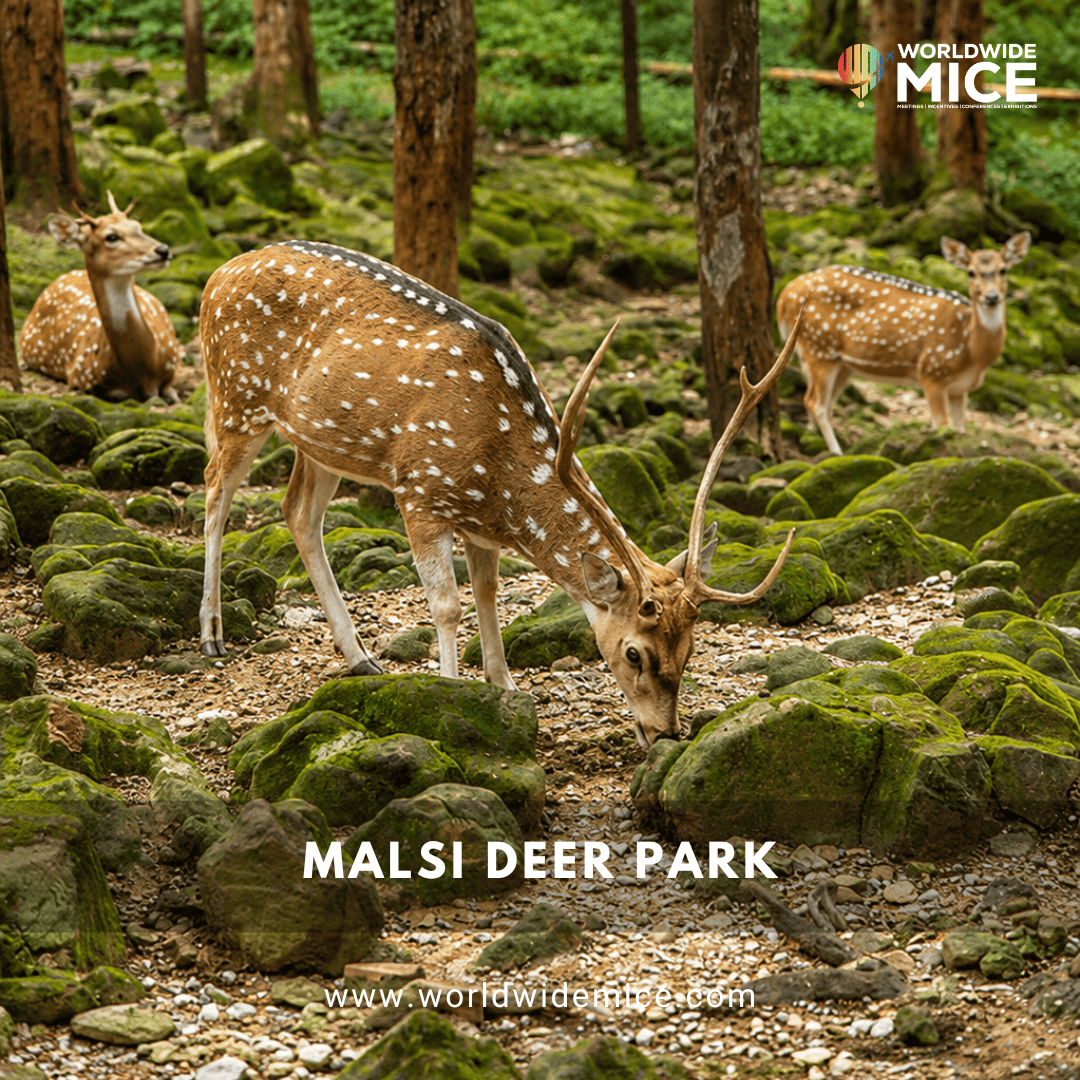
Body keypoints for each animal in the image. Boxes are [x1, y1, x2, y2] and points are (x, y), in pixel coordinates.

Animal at [197, 239, 802, 748]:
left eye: (691, 647)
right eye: (634, 652)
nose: (665, 733)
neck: (499, 479)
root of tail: (217, 275)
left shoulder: (479, 523)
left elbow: (487, 596)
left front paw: (504, 687)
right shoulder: (419, 488)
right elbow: (447, 605)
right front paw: (446, 692)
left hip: (319, 441)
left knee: (297, 511)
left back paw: (361, 658)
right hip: (236, 397)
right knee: (214, 494)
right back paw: (212, 636)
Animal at [776, 231, 1031, 455]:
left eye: (1003, 270)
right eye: (971, 272)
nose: (991, 297)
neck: (972, 353)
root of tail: (783, 296)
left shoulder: (960, 388)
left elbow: (961, 430)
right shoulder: (931, 372)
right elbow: (941, 426)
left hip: (841, 363)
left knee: (825, 404)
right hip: (818, 347)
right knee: (814, 402)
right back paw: (836, 452)